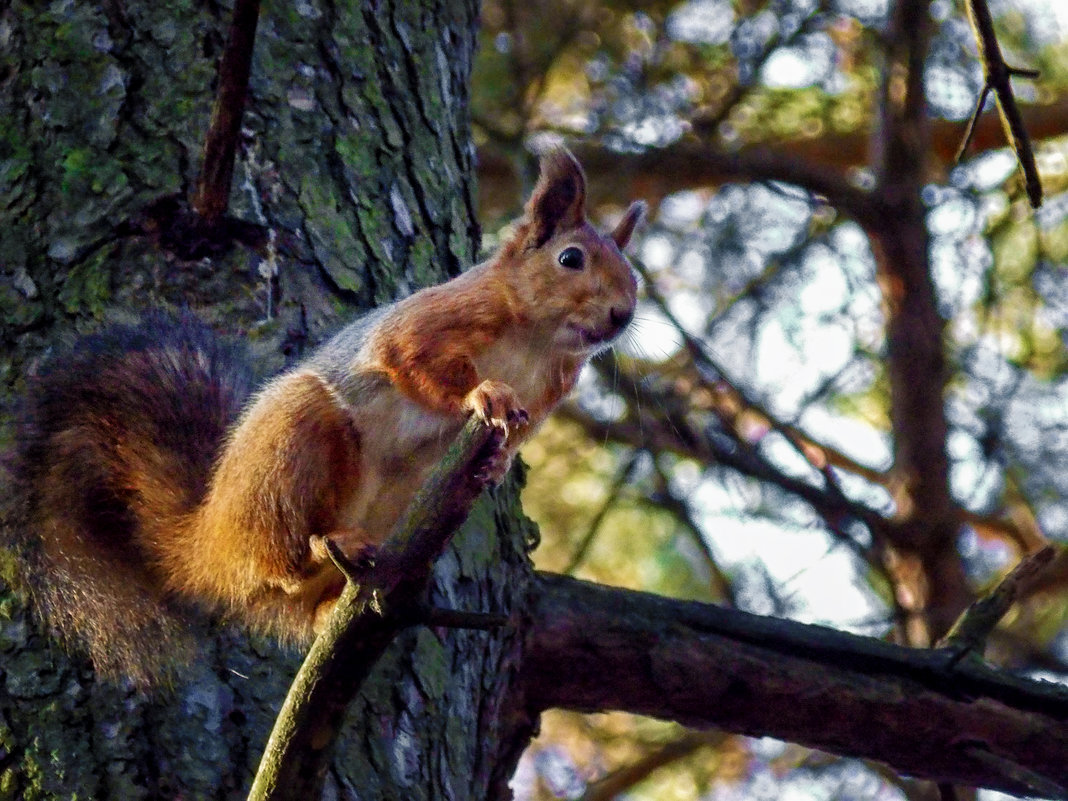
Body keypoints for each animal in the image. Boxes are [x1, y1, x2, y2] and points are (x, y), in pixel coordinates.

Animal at [10, 149, 640, 683]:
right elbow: (412, 360)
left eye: (633, 274)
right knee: (275, 559)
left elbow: (513, 437)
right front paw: (481, 394)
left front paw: (497, 465)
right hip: (299, 436)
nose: (622, 314)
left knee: (301, 604)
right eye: (570, 258)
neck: (538, 341)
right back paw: (319, 545)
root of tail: (206, 539)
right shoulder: (436, 320)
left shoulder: (549, 395)